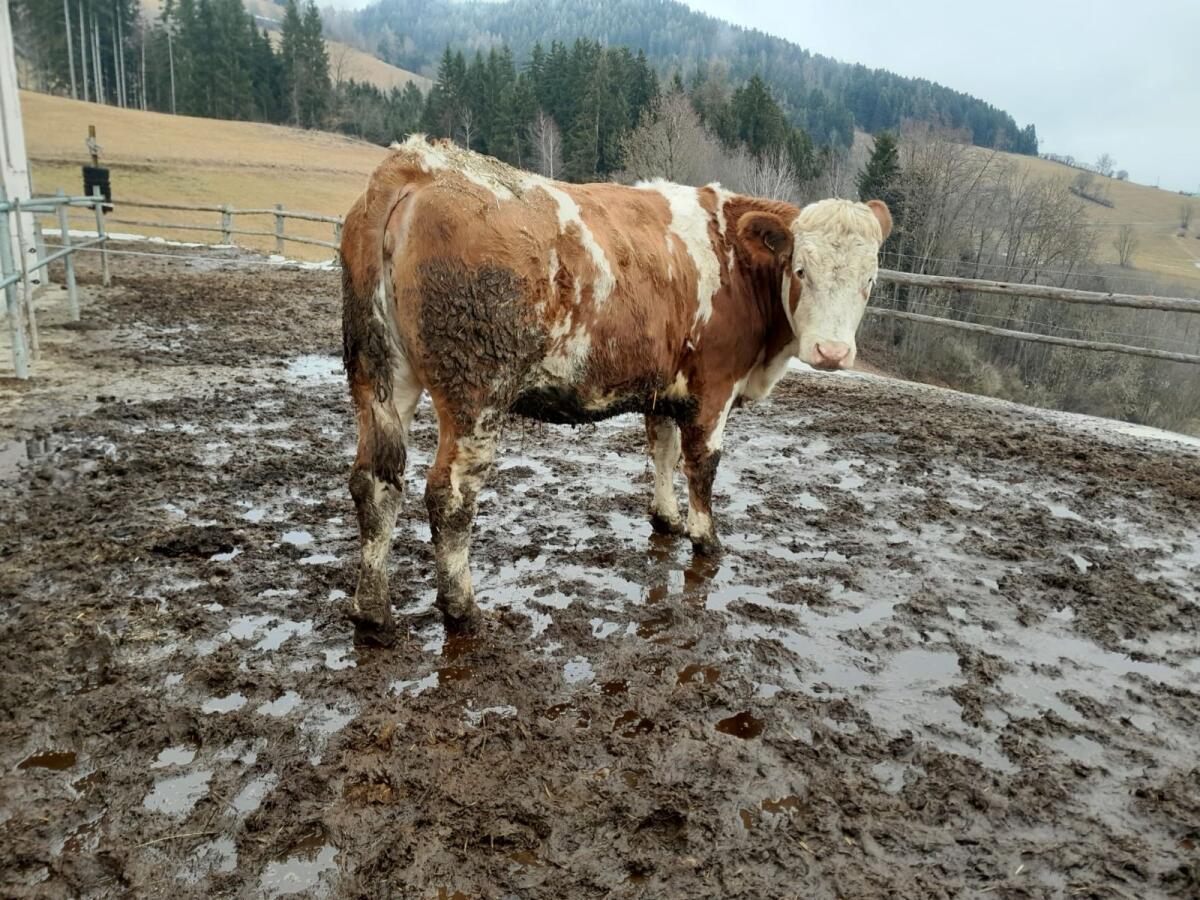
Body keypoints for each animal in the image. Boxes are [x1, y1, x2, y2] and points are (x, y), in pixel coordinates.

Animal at [340, 136, 891, 643]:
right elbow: (703, 466)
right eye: (801, 269)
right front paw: (706, 538)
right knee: (449, 496)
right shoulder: (714, 387)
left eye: (870, 280)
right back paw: (463, 610)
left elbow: (663, 450)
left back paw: (373, 613)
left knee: (375, 481)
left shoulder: (666, 388)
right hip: (476, 390)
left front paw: (666, 518)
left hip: (379, 374)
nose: (832, 352)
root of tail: (419, 166)